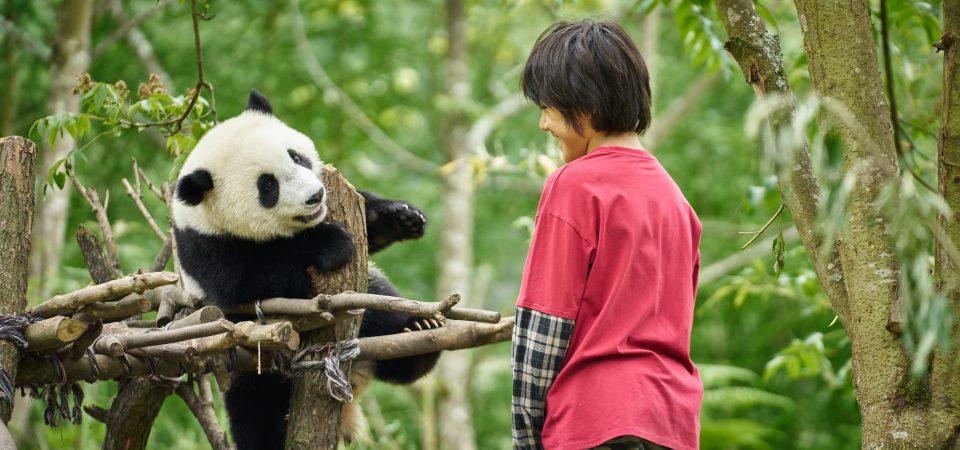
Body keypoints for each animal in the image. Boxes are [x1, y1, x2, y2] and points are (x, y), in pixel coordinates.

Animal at [171, 91, 442, 450]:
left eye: (296, 157)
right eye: (267, 185)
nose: (315, 196)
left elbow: (367, 224)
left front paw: (402, 217)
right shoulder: (206, 248)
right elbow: (248, 279)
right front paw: (331, 243)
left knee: (382, 315)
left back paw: (420, 332)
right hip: (249, 359)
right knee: (255, 408)